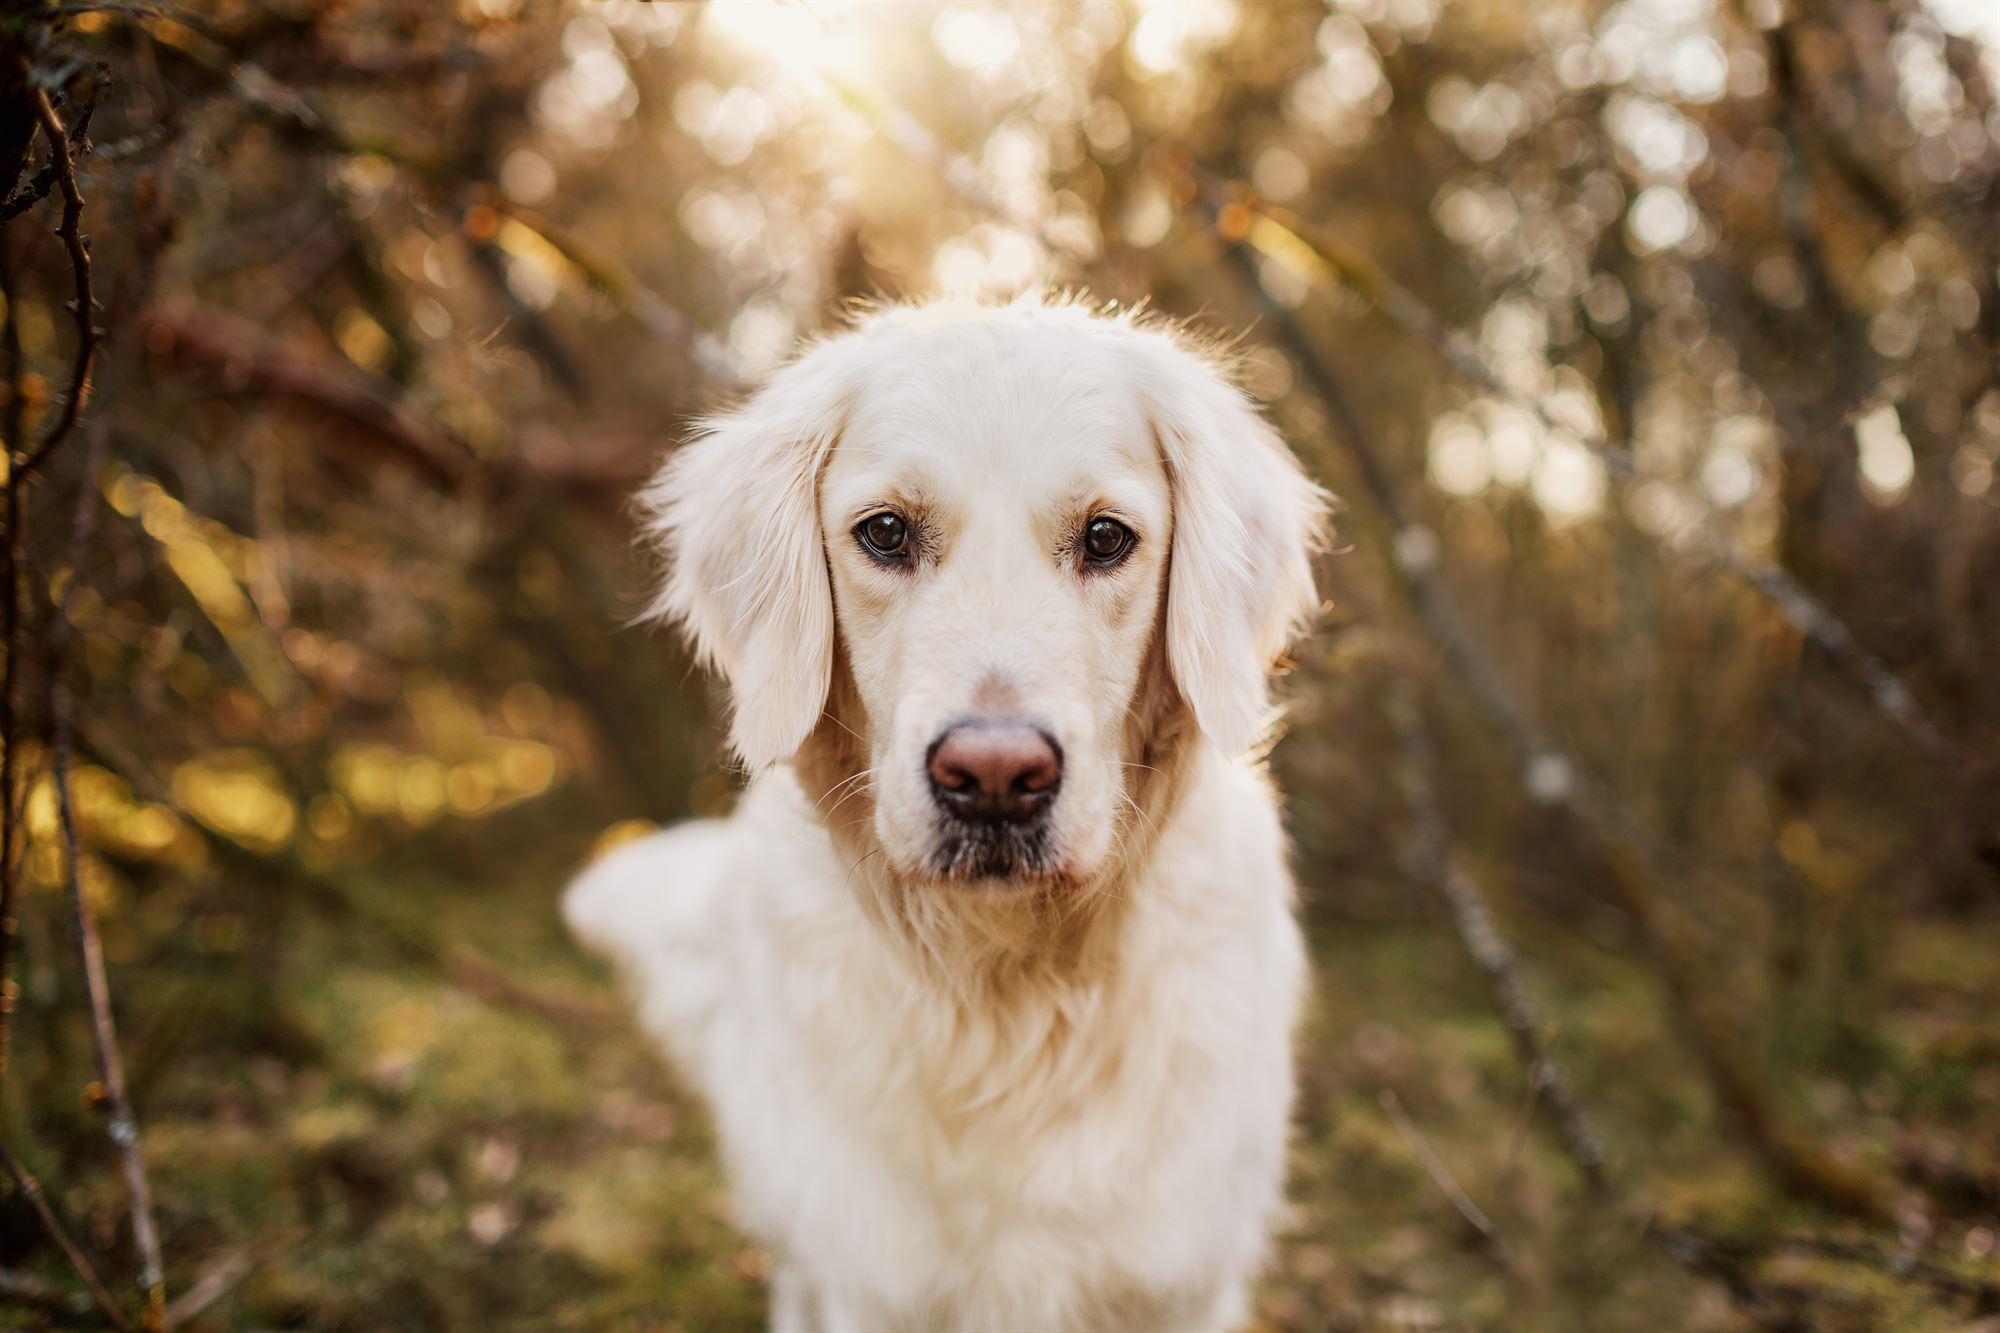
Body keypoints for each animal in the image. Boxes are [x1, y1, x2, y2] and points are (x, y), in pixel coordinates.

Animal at [568, 294, 1328, 1328]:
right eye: (886, 532)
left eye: (1106, 538)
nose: (996, 777)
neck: (1007, 1000)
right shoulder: (870, 1281)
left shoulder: (1180, 1279)